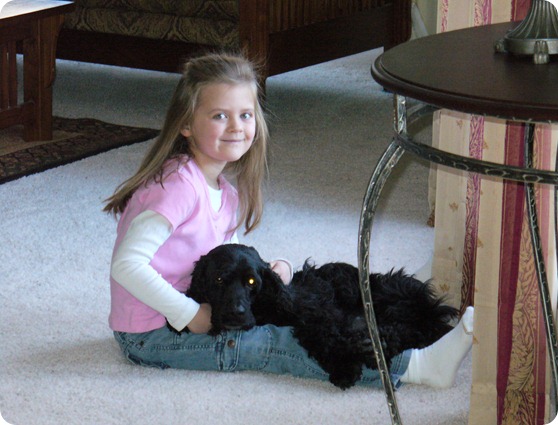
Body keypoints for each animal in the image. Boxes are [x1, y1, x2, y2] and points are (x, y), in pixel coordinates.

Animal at [183, 244, 458, 389]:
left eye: (251, 282)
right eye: (219, 279)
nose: (236, 313)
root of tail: (429, 304)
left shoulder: (320, 312)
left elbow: (323, 333)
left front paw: (345, 367)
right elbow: (320, 336)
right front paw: (347, 364)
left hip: (389, 299)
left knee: (416, 329)